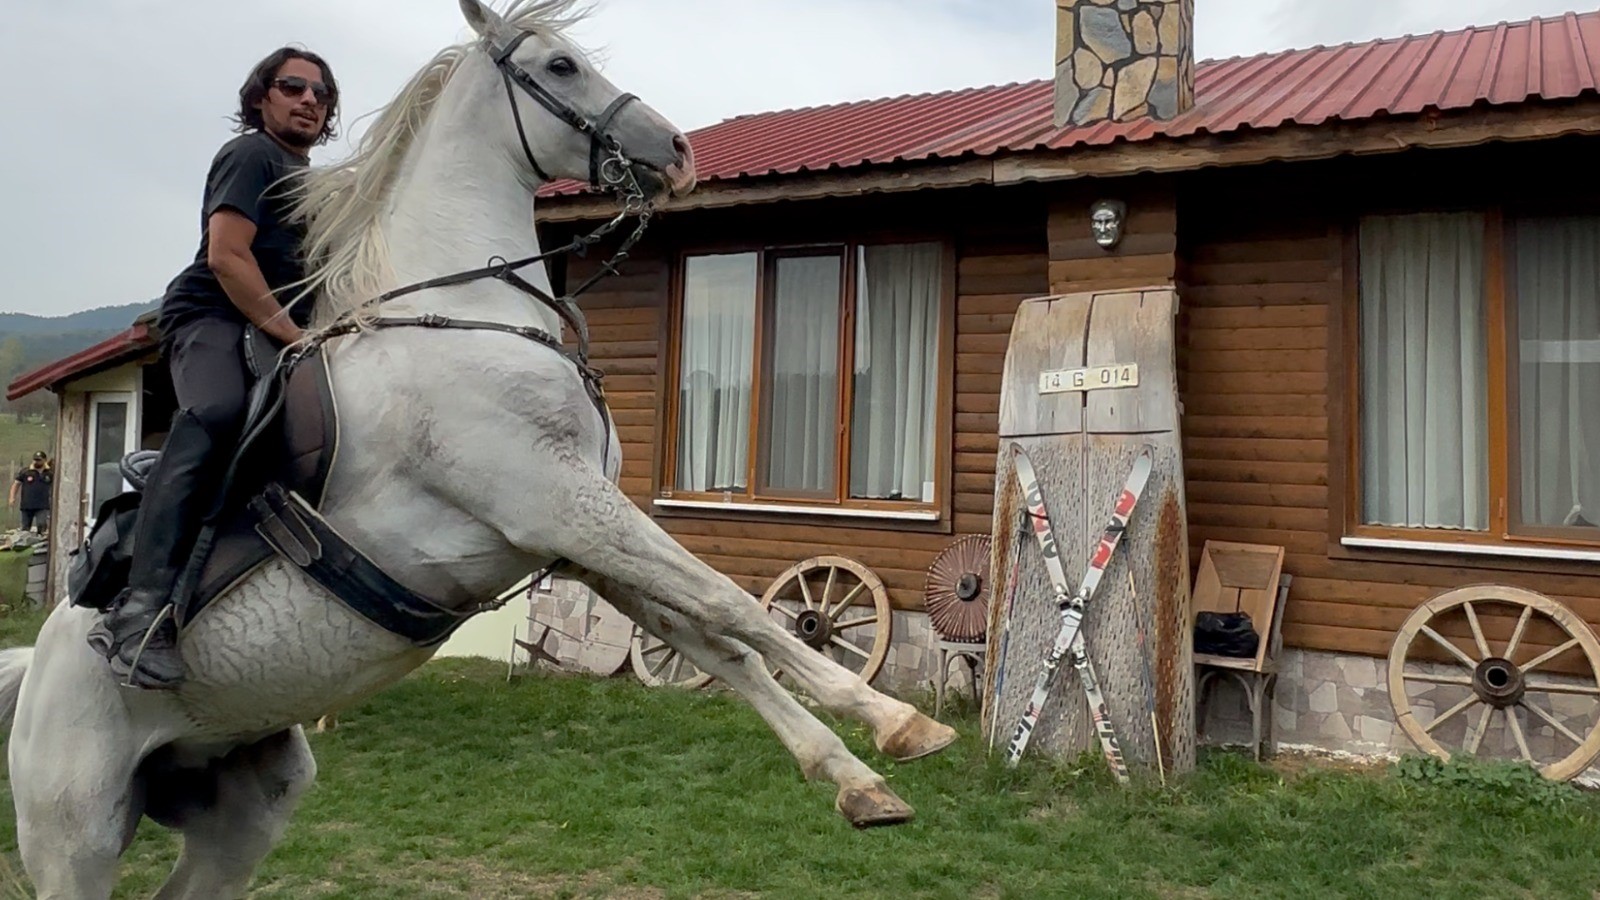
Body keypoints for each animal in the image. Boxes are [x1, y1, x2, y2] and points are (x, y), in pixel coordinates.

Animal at [0, 3, 953, 890]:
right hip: (76, 838)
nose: (678, 150)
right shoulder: (552, 500)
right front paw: (898, 720)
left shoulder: (572, 536)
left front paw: (860, 776)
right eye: (562, 66)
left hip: (244, 809)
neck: (466, 314)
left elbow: (715, 638)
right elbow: (733, 603)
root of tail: (36, 671)